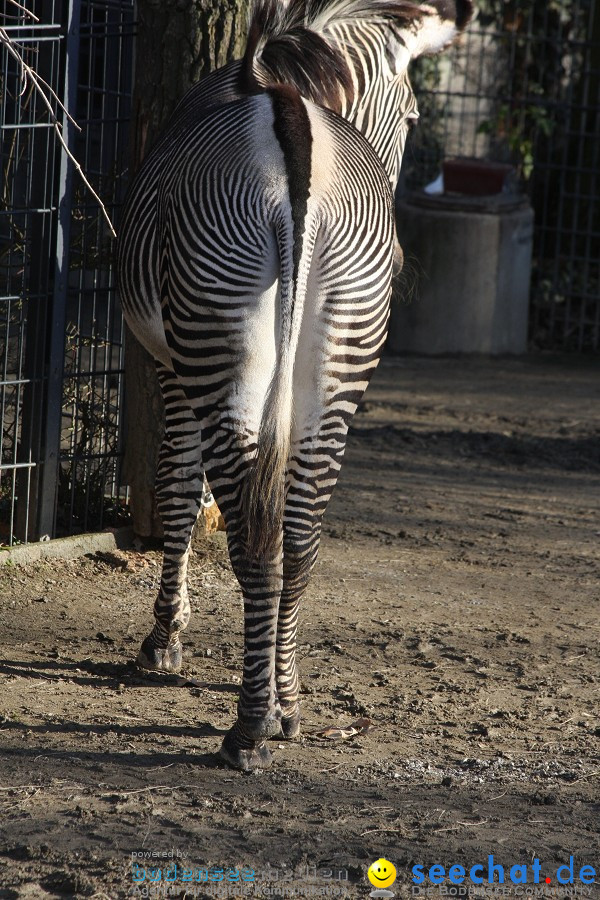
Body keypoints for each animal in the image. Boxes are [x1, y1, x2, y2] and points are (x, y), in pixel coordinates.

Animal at [118, 1, 474, 772]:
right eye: (413, 117)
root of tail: (295, 127)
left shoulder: (168, 365)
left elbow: (176, 492)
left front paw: (164, 641)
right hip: (338, 362)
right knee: (301, 535)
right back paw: (286, 703)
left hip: (216, 339)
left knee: (253, 538)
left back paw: (249, 729)